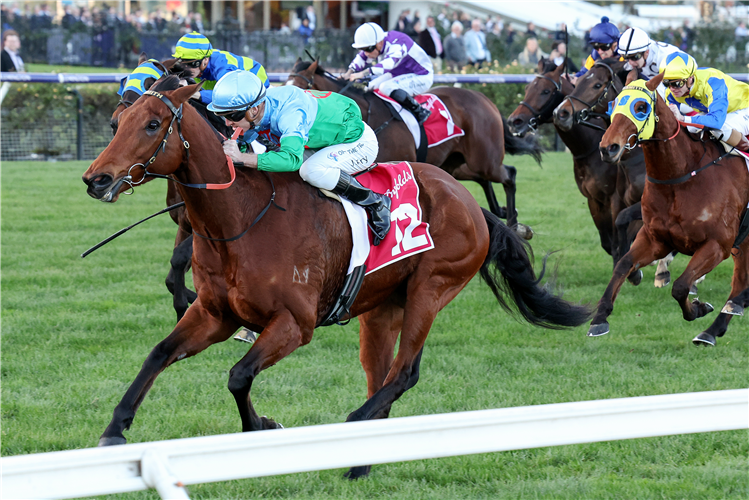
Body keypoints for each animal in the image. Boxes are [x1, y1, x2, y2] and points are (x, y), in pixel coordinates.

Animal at [82, 77, 592, 476]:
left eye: (152, 125)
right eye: (115, 123)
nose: (96, 180)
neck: (239, 219)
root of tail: (469, 204)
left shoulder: (295, 324)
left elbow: (239, 375)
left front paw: (259, 428)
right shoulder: (214, 314)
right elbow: (159, 354)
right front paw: (114, 432)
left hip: (431, 289)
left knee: (404, 373)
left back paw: (354, 425)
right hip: (382, 307)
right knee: (382, 374)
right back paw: (360, 459)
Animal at [288, 58, 544, 234]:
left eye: (301, 85)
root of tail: (484, 98)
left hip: (484, 160)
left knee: (509, 174)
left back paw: (515, 224)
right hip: (455, 163)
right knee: (485, 179)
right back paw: (502, 212)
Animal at [592, 73, 748, 348]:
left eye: (641, 107)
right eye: (615, 103)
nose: (608, 148)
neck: (682, 175)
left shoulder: (718, 245)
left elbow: (681, 286)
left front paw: (699, 308)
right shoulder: (655, 238)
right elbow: (623, 264)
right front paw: (600, 317)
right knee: (740, 282)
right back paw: (714, 327)